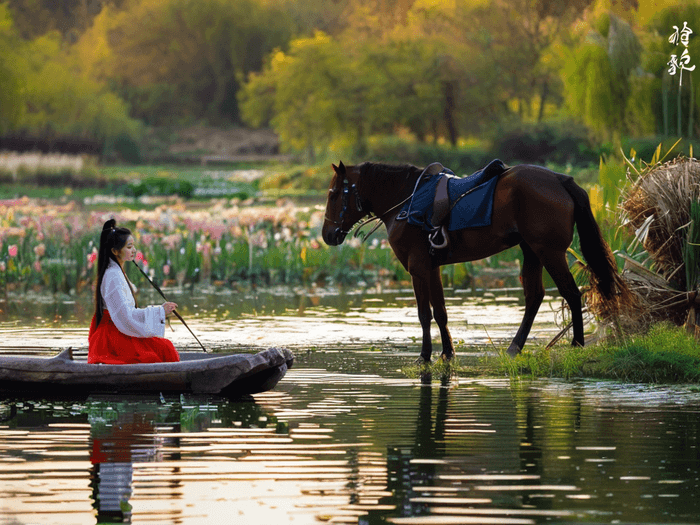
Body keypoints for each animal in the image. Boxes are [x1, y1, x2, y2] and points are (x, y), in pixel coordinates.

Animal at [322, 162, 624, 362]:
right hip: (531, 251)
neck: (406, 202)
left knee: (571, 293)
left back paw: (577, 343)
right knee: (534, 297)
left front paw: (425, 355)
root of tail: (560, 179)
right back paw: (515, 347)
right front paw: (447, 352)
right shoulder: (432, 268)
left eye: (334, 194)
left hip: (549, 252)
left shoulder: (418, 269)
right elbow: (440, 313)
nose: (327, 235)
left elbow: (424, 314)